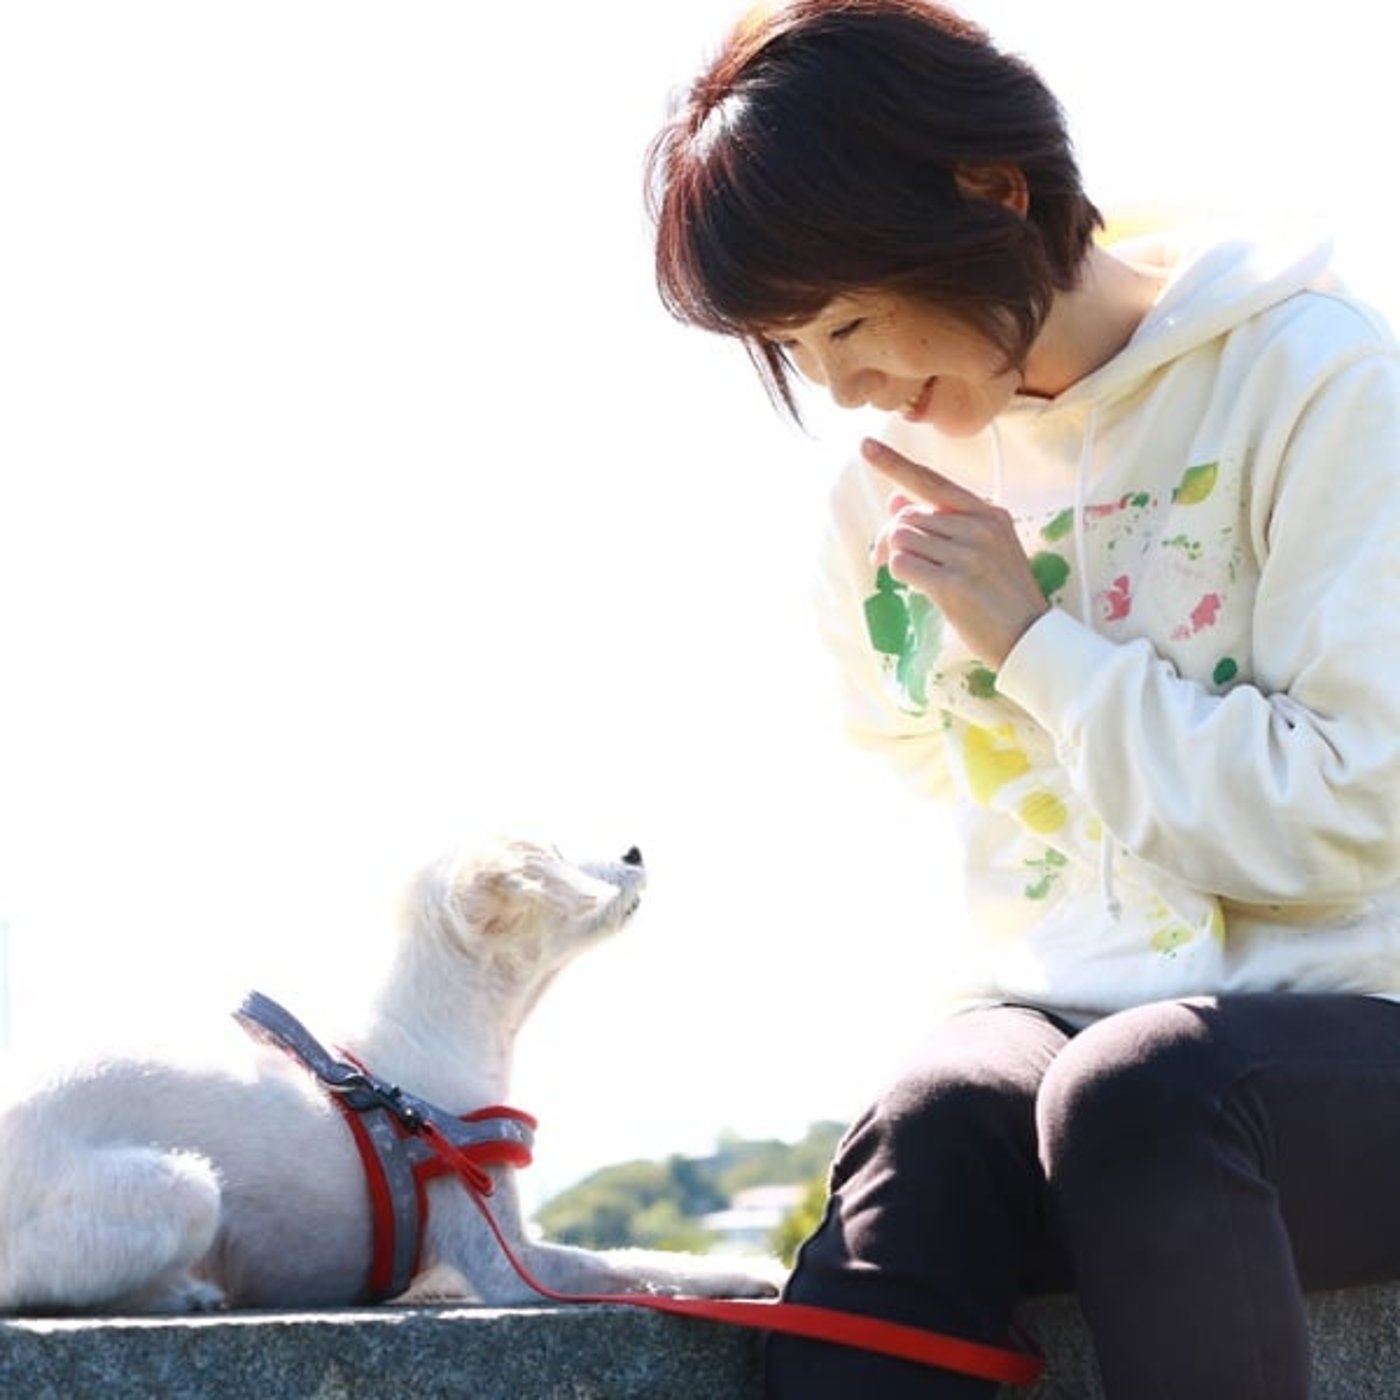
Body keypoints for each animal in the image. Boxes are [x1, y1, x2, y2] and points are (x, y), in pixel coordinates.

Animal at [0, 837, 782, 1312]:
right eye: (560, 858)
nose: (634, 850)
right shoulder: (503, 1262)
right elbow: (635, 1261)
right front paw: (753, 1273)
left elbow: (638, 1256)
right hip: (183, 1189)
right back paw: (179, 1294)